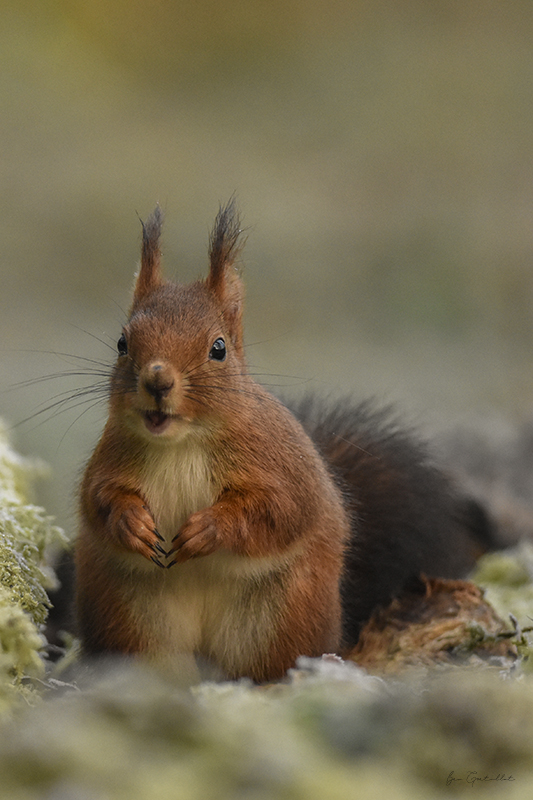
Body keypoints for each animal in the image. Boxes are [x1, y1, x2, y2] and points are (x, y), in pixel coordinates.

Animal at [75, 202, 490, 680]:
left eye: (218, 348)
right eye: (122, 343)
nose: (158, 380)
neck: (181, 443)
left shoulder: (280, 466)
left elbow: (278, 510)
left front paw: (209, 529)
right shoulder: (110, 459)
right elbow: (99, 499)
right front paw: (132, 523)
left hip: (281, 615)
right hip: (133, 617)